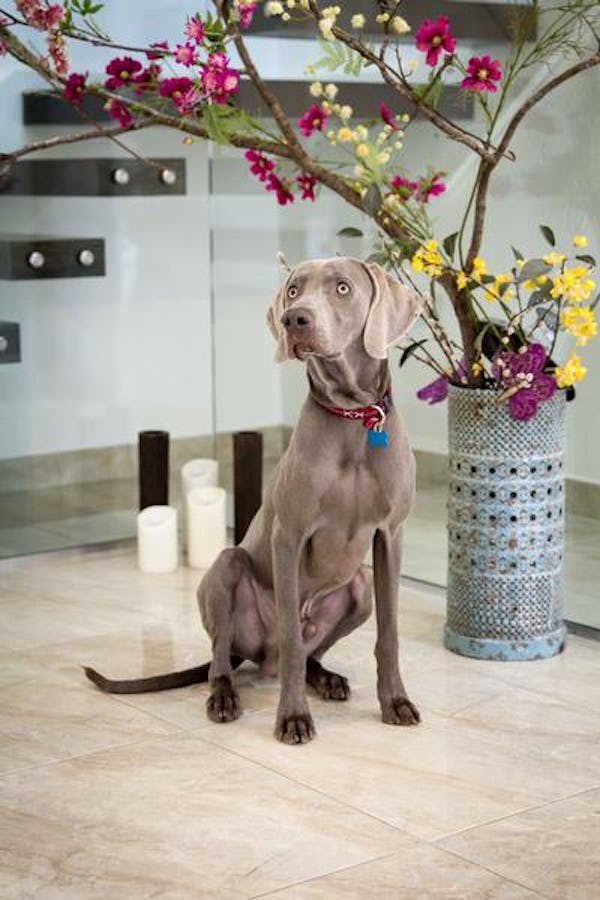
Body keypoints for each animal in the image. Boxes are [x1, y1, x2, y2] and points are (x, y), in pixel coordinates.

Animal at [85, 256, 422, 744]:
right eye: (294, 290)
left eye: (343, 287)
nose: (294, 319)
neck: (353, 418)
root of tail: (264, 659)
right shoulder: (289, 536)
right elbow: (292, 638)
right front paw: (293, 717)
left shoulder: (390, 534)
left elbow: (389, 634)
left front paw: (395, 702)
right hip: (227, 570)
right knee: (227, 657)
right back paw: (225, 697)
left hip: (359, 589)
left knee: (310, 651)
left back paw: (326, 678)